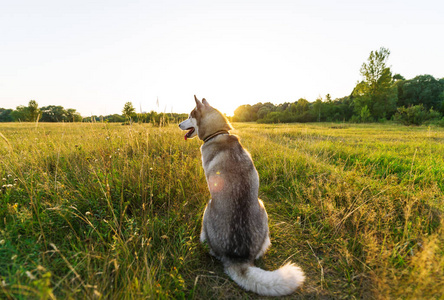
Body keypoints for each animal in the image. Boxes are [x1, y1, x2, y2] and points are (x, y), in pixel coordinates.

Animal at [179, 95, 304, 296]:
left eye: (190, 116)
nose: (178, 124)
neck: (218, 133)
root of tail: (237, 258)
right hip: (261, 207)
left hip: (209, 208)